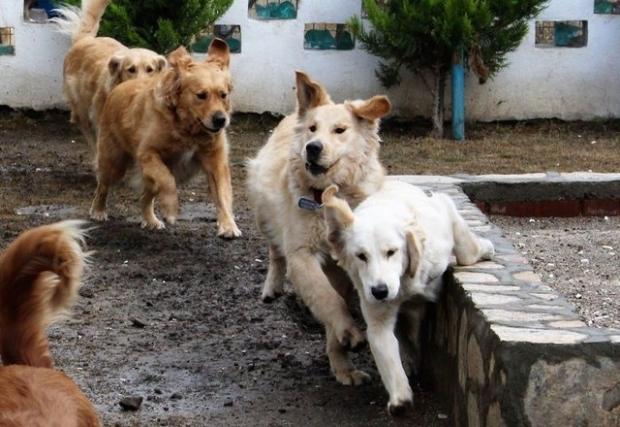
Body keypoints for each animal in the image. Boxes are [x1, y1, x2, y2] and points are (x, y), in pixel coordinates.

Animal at [91, 38, 241, 239]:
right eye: (201, 95)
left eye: (223, 95)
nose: (220, 120)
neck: (188, 129)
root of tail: (119, 88)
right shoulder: (148, 154)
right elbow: (167, 180)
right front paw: (170, 209)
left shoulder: (215, 160)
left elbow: (223, 194)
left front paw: (228, 225)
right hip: (114, 162)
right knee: (103, 186)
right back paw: (98, 210)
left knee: (145, 197)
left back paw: (150, 220)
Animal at [246, 72, 388, 386]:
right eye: (313, 129)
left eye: (340, 130)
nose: (312, 147)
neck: (327, 195)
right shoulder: (301, 254)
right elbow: (326, 296)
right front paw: (348, 331)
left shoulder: (344, 264)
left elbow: (334, 299)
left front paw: (342, 365)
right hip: (264, 215)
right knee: (275, 252)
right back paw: (272, 286)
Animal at [320, 180, 494, 414]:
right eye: (361, 256)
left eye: (392, 252)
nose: (380, 291)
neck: (404, 283)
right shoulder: (377, 318)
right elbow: (388, 357)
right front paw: (400, 398)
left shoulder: (444, 208)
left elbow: (467, 252)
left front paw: (486, 247)